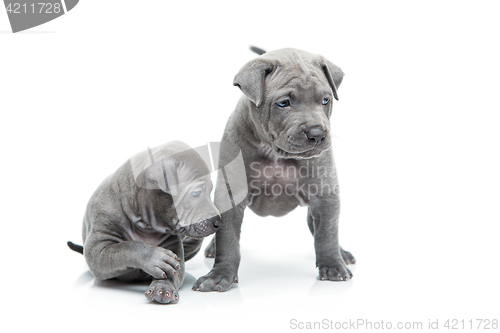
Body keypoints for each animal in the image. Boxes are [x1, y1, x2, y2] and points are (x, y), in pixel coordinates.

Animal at [67, 141, 220, 302]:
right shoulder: (97, 248)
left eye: (211, 191)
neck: (144, 224)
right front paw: (155, 258)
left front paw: (162, 287)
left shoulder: (173, 248)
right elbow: (126, 247)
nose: (218, 222)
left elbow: (174, 272)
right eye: (196, 193)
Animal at [192, 46, 356, 290]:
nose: (317, 134)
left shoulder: (324, 194)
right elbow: (228, 239)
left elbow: (327, 233)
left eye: (325, 100)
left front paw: (333, 265)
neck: (276, 153)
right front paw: (220, 275)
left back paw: (342, 253)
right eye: (283, 103)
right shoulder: (231, 194)